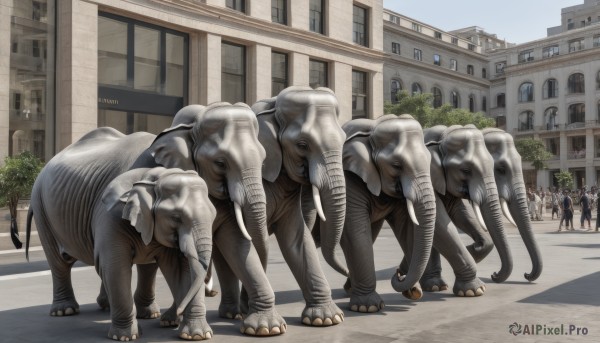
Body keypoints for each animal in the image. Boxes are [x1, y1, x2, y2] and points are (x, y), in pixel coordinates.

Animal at [28, 167, 216, 342]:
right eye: (176, 217)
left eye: (214, 216)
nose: (179, 311)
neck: (155, 177)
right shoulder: (112, 218)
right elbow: (116, 268)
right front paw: (125, 337)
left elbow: (181, 270)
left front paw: (197, 335)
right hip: (42, 213)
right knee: (59, 262)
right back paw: (65, 310)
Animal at [214, 86, 346, 328]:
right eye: (302, 145)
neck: (272, 106)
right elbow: (254, 241)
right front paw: (251, 312)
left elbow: (297, 240)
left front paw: (326, 319)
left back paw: (232, 313)